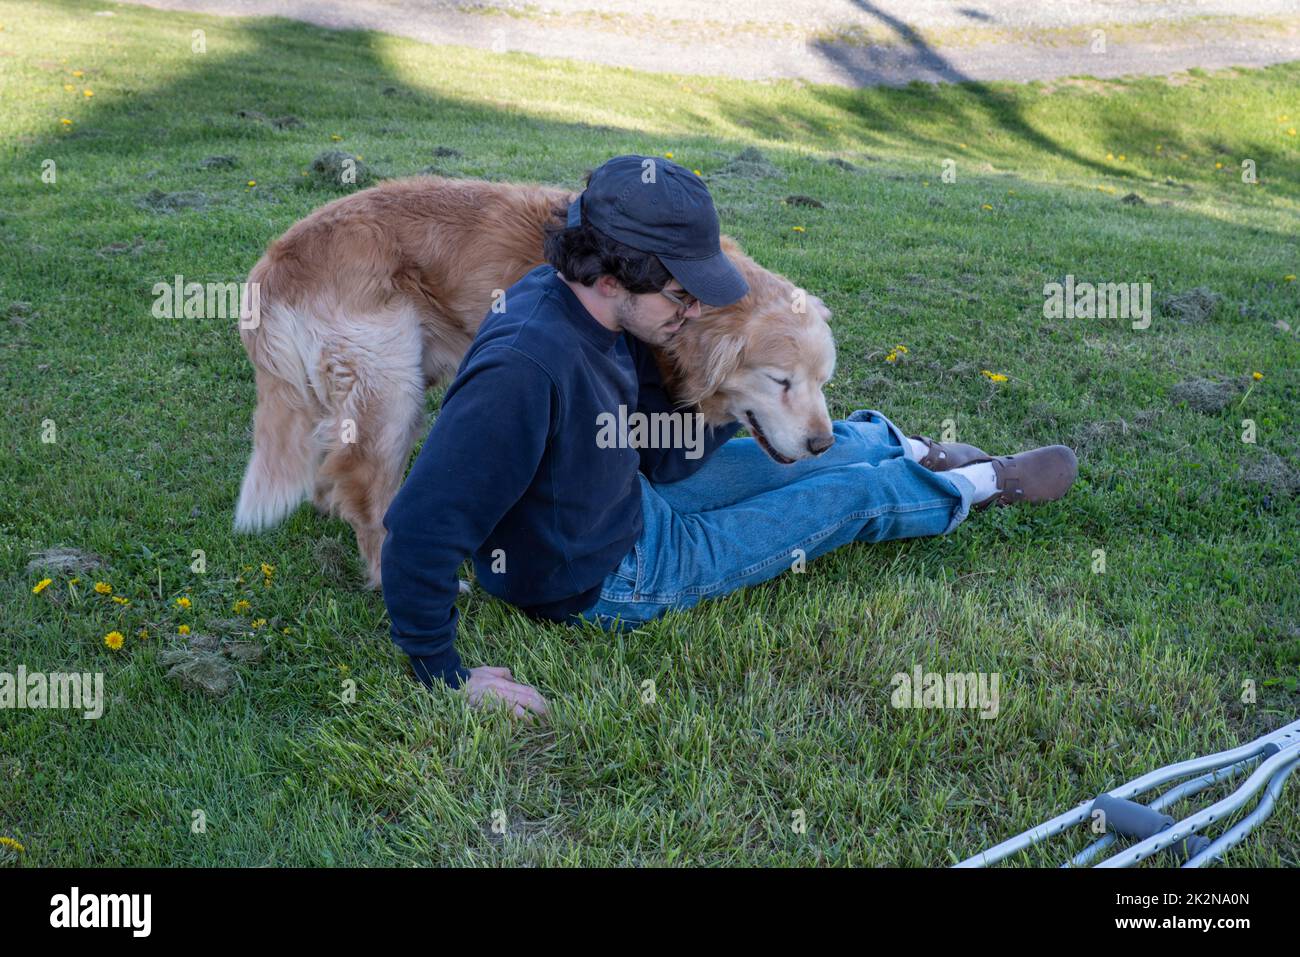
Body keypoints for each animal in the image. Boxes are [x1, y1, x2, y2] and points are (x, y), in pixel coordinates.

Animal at [236, 175, 832, 587]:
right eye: (780, 381)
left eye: (823, 381)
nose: (823, 443)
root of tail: (276, 264)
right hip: (391, 383)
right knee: (366, 491)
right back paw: (388, 572)